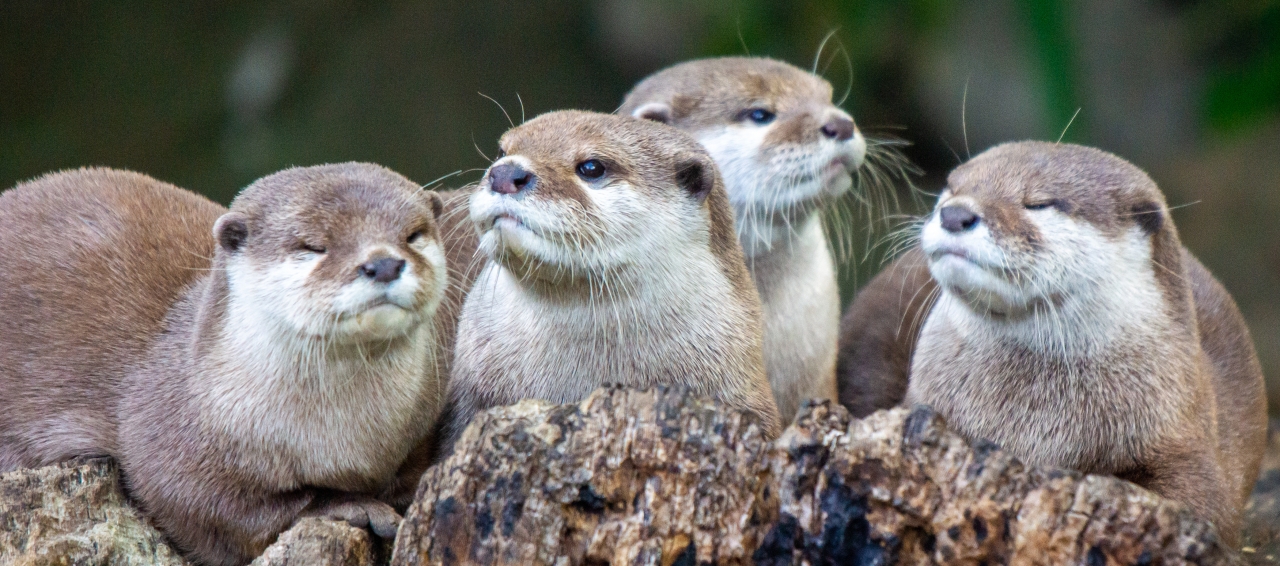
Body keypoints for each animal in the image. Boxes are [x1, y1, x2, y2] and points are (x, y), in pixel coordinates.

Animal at [0, 161, 450, 563]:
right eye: (313, 246)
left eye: (413, 235)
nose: (384, 263)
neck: (343, 441)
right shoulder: (169, 443)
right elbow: (225, 511)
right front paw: (352, 504)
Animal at [834, 141, 1264, 542]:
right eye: (951, 187)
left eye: (1039, 203)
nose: (955, 213)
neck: (1030, 420)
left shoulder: (1187, 447)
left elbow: (1204, 504)